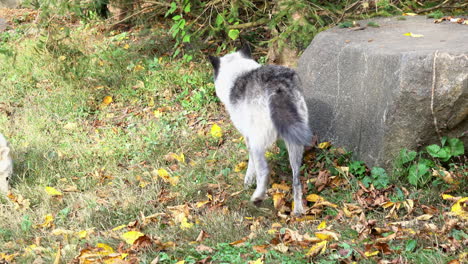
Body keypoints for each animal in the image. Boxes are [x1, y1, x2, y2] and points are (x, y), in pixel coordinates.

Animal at [208, 44, 310, 214]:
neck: (239, 72)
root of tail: (277, 85)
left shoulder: (249, 139)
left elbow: (252, 164)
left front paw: (248, 181)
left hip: (258, 143)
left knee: (264, 171)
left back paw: (258, 197)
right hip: (295, 143)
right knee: (296, 180)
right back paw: (297, 210)